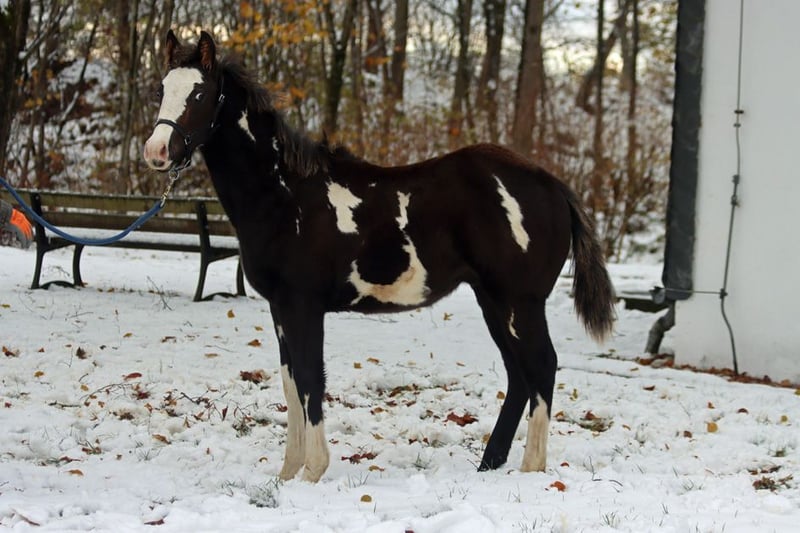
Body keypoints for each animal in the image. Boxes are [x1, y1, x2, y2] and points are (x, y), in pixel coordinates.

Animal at [143, 30, 615, 483]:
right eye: (161, 88)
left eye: (199, 94)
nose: (157, 152)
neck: (283, 193)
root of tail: (553, 186)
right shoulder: (279, 309)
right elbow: (291, 383)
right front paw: (288, 472)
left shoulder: (302, 305)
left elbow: (311, 379)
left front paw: (313, 471)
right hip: (493, 301)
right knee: (519, 375)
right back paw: (490, 464)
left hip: (520, 303)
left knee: (542, 367)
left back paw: (531, 468)